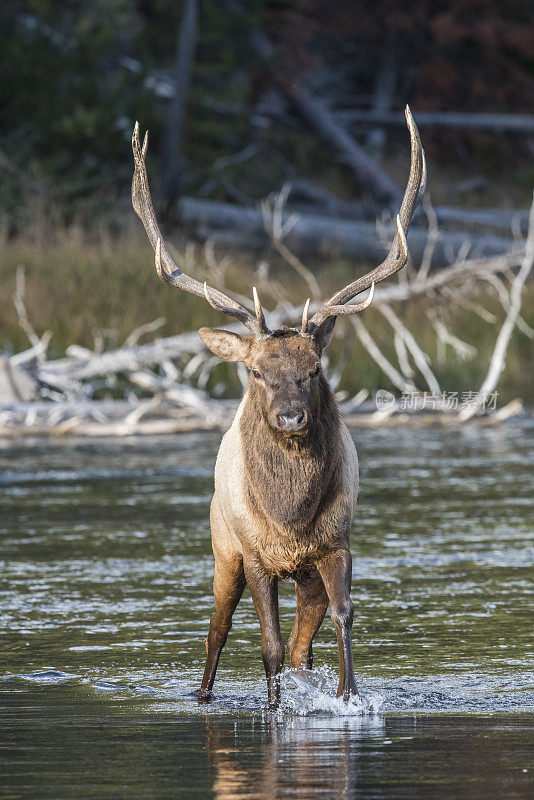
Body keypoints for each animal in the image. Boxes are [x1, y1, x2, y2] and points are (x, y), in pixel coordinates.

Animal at [131, 109, 428, 708]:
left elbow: (342, 618)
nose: (292, 416)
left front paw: (347, 697)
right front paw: (272, 708)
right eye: (256, 372)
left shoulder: (336, 545)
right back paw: (202, 693)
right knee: (218, 626)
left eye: (314, 368)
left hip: (304, 576)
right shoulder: (255, 555)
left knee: (300, 647)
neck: (290, 516)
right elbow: (264, 647)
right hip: (223, 546)